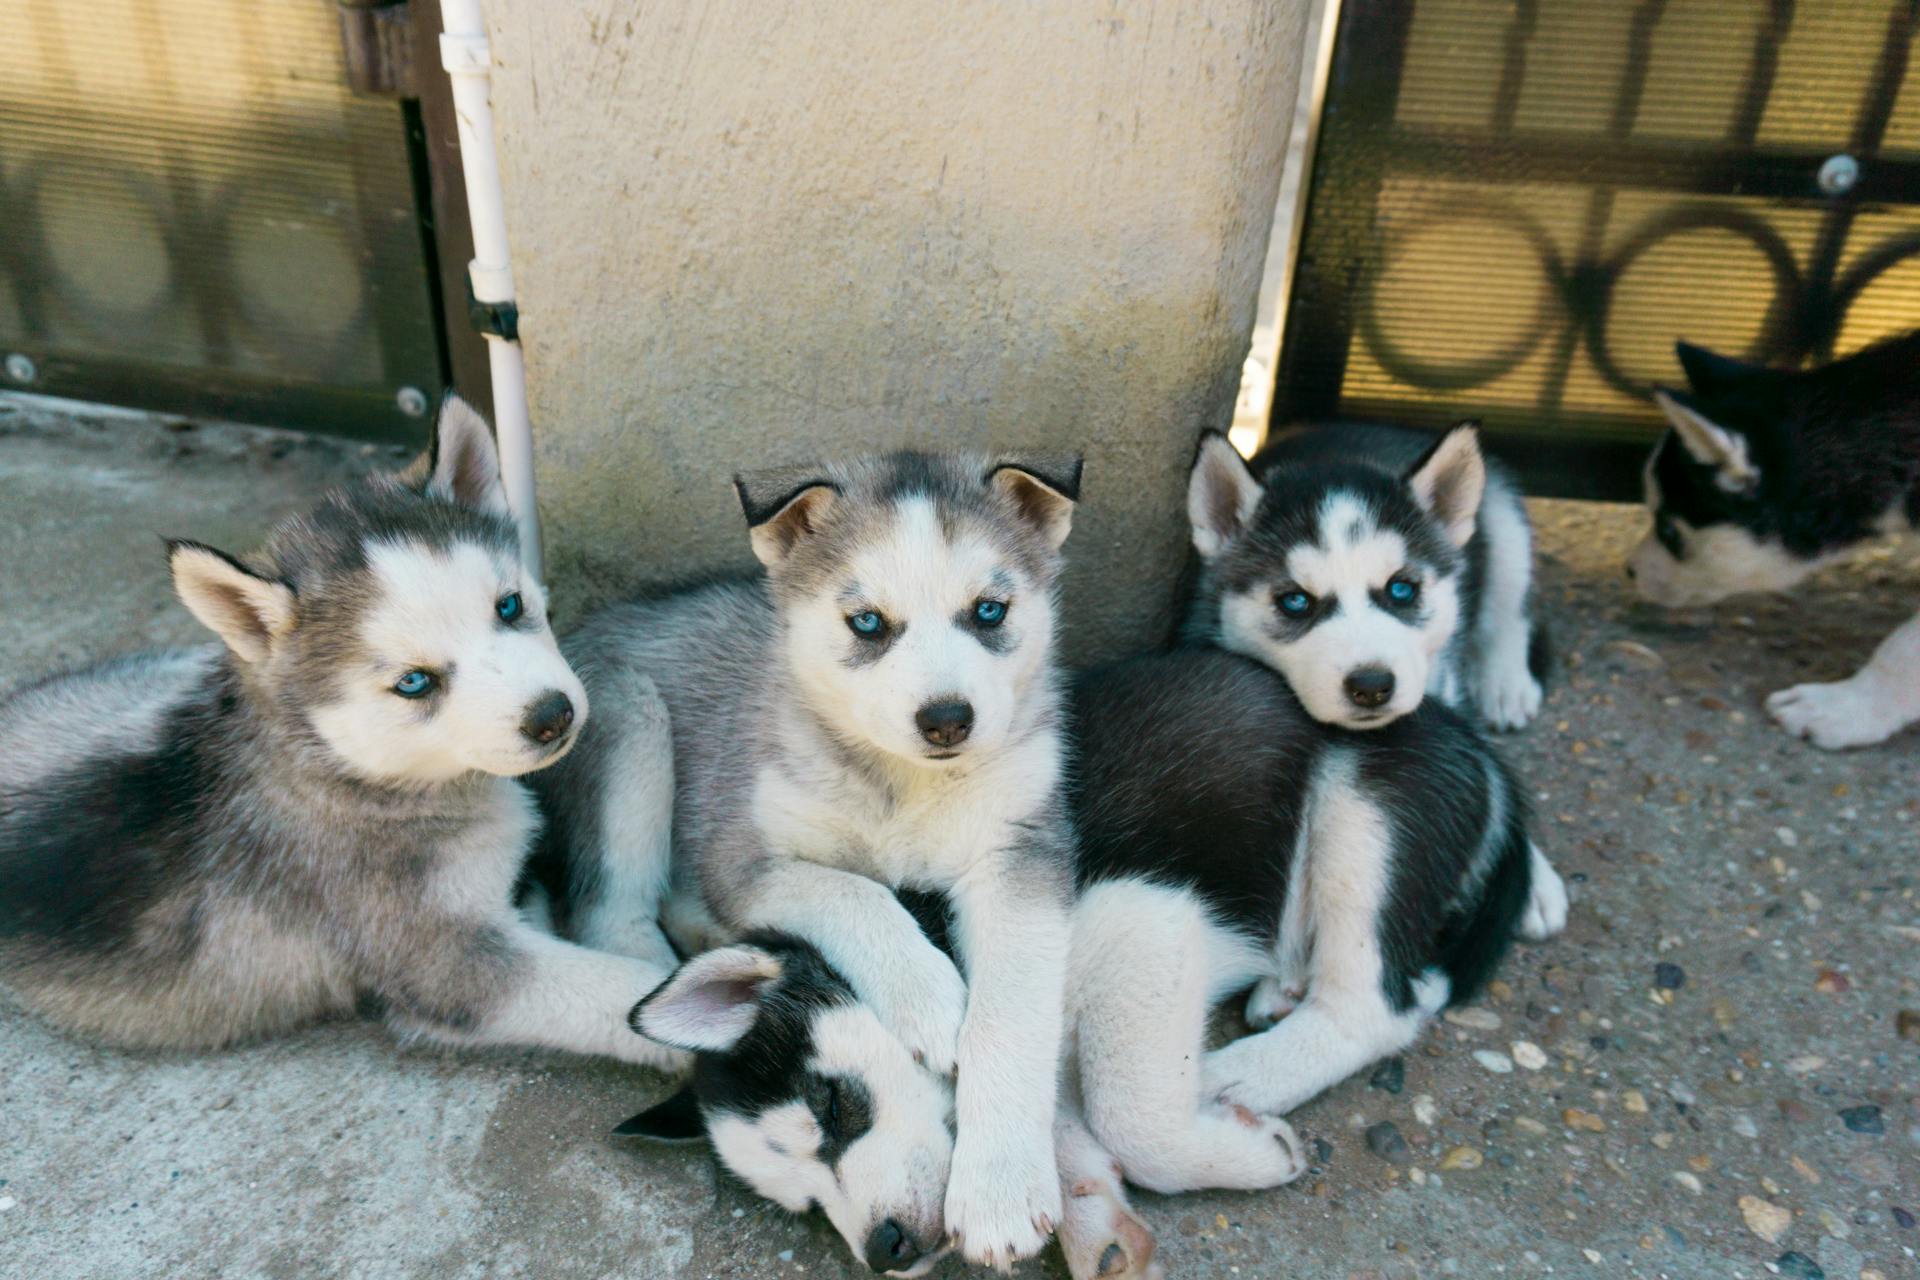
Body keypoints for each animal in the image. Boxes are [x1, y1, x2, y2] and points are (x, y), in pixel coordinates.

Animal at [0, 397, 683, 1074]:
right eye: (414, 683)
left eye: (509, 606)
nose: (553, 716)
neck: (349, 774)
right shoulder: (446, 959)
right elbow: (620, 993)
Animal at [533, 450, 1090, 1274]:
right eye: (868, 623)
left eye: (989, 612)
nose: (947, 719)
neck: (904, 783)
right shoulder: (744, 856)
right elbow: (852, 893)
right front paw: (928, 997)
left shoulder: (1022, 851)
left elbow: (1011, 1013)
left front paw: (1000, 1192)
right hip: (633, 728)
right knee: (613, 911)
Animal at [622, 652, 1566, 1280]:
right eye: (802, 1204)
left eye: (831, 1105)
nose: (886, 1252)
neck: (931, 921)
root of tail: (1467, 738)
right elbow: (1063, 1119)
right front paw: (1090, 1213)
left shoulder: (1145, 917)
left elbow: (1129, 1117)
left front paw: (1241, 1150)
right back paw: (1278, 989)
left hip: (1362, 811)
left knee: (1378, 1002)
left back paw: (1246, 1073)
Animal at [1182, 422, 1543, 729]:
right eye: (1295, 601)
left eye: (1401, 589)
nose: (1371, 686)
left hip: (1506, 520)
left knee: (1511, 609)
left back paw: (1506, 683)